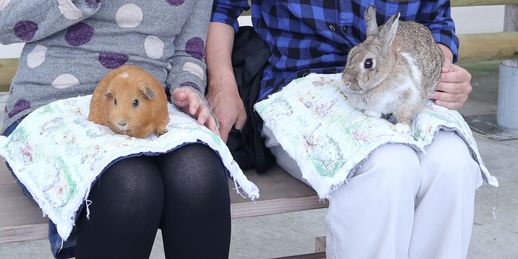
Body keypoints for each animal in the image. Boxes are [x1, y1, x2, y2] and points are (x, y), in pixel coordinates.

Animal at [342, 5, 446, 135]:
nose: (346, 82)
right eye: (350, 54)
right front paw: (372, 114)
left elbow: (404, 114)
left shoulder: (408, 97)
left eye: (368, 63)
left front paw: (402, 128)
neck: (384, 77)